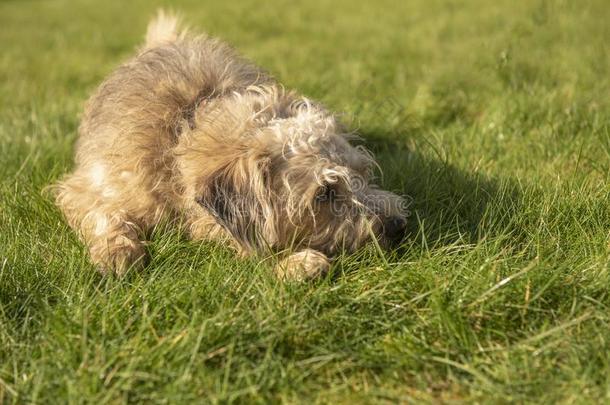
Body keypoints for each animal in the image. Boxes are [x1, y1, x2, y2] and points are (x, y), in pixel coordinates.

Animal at [54, 11, 406, 280]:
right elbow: (101, 210)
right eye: (325, 193)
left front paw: (294, 263)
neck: (180, 137)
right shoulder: (94, 184)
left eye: (362, 173)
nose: (397, 225)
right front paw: (117, 252)